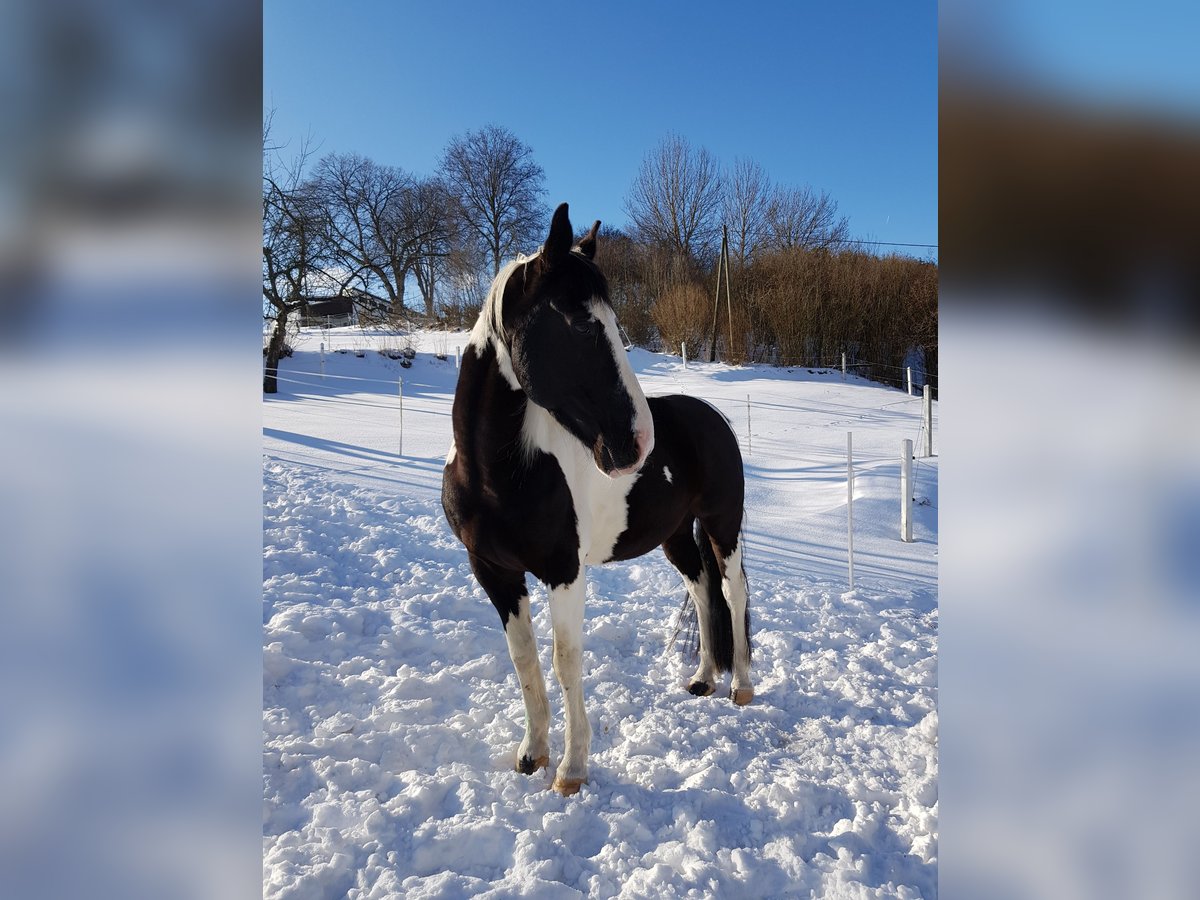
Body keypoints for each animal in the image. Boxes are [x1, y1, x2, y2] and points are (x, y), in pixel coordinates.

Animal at [446, 204, 753, 796]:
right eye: (578, 322)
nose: (637, 442)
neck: (500, 473)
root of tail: (712, 416)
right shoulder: (493, 571)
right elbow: (524, 660)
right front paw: (531, 755)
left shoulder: (564, 571)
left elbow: (565, 660)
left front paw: (571, 770)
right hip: (676, 537)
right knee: (703, 590)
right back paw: (703, 679)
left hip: (722, 525)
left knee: (733, 592)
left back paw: (741, 688)